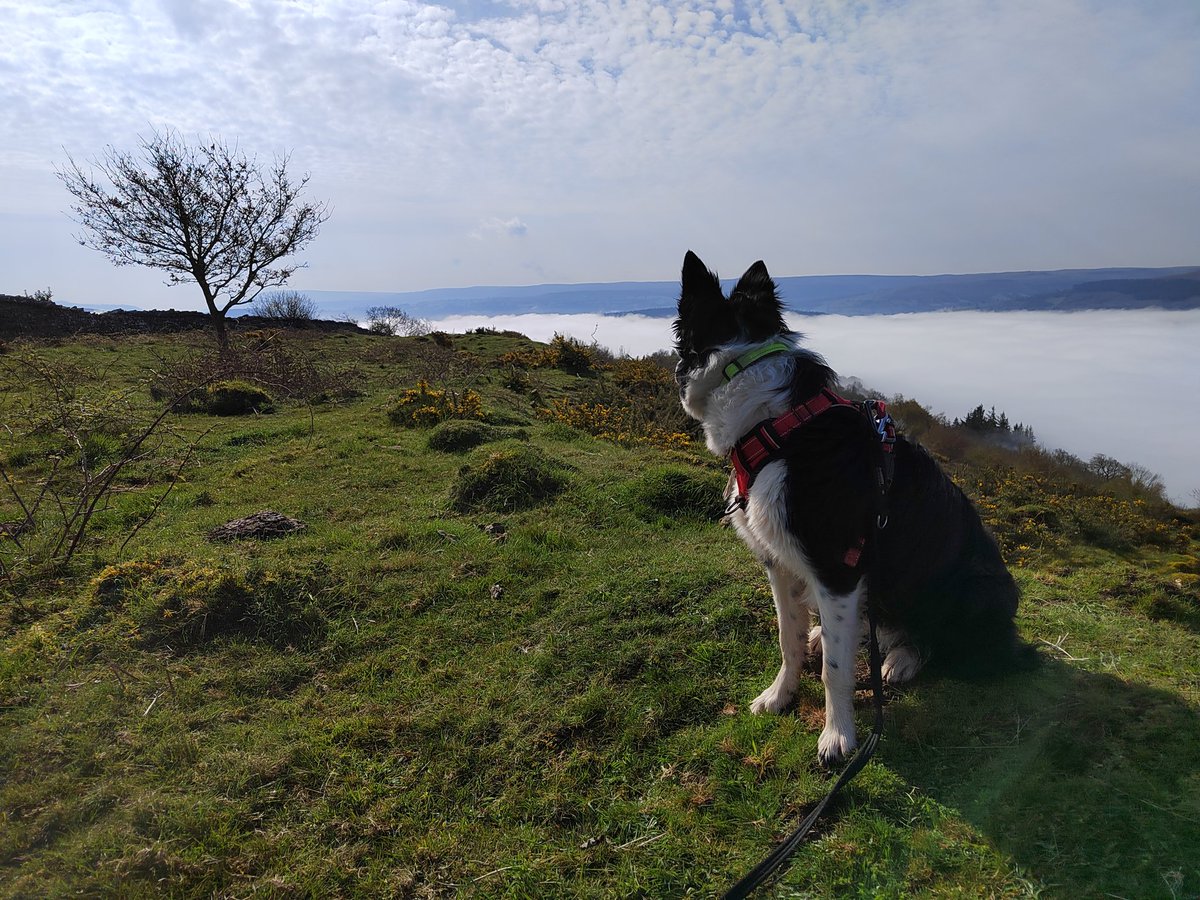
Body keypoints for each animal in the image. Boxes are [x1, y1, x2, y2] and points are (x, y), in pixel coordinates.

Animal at [672, 254, 1027, 768]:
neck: (777, 425)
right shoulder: (780, 563)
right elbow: (788, 640)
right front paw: (780, 695)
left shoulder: (838, 567)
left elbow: (835, 672)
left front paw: (838, 735)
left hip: (977, 592)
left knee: (935, 639)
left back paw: (901, 658)